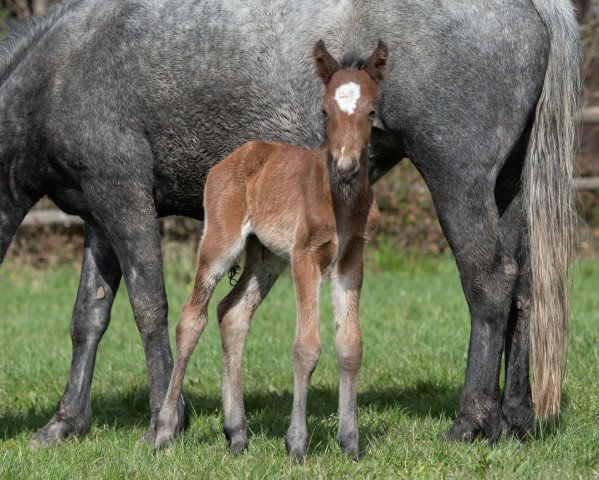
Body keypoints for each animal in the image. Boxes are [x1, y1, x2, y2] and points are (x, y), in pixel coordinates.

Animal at [155, 40, 390, 458]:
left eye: (371, 112)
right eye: (325, 110)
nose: (345, 166)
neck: (342, 202)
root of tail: (231, 158)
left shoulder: (350, 259)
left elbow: (350, 345)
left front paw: (350, 441)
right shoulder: (305, 256)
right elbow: (306, 347)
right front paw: (296, 442)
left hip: (266, 258)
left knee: (232, 313)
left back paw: (236, 433)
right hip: (221, 241)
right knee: (191, 319)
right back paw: (165, 430)